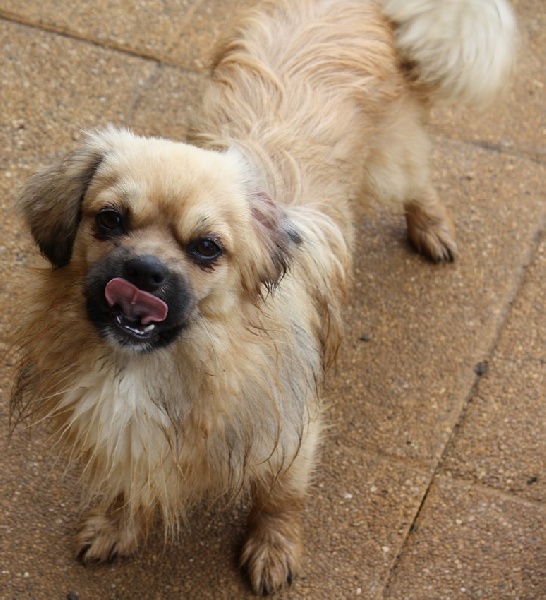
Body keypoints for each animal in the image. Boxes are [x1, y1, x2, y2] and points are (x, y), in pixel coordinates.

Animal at [11, 0, 516, 594]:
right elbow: (128, 483)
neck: (155, 366)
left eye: (207, 248)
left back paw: (432, 229)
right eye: (110, 220)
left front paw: (274, 549)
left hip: (395, 162)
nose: (144, 271)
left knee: (419, 183)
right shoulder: (128, 439)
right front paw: (117, 524)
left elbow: (280, 496)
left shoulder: (293, 431)